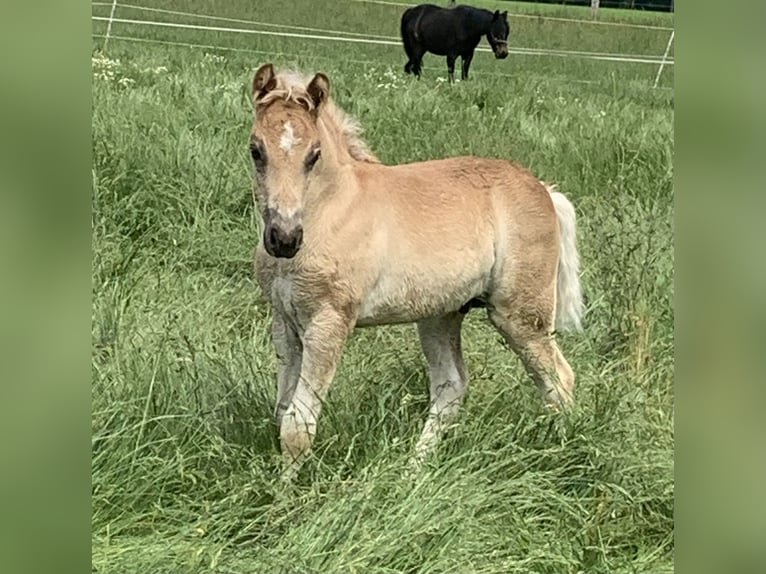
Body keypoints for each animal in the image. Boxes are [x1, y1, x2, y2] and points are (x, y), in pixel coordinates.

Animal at [249, 64, 584, 482]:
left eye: (314, 155)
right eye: (256, 150)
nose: (283, 237)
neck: (329, 210)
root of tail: (544, 190)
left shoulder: (329, 321)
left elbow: (297, 425)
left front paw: (285, 496)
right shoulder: (284, 320)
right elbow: (283, 412)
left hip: (520, 315)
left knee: (558, 380)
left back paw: (563, 457)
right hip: (440, 314)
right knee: (451, 386)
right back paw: (413, 469)